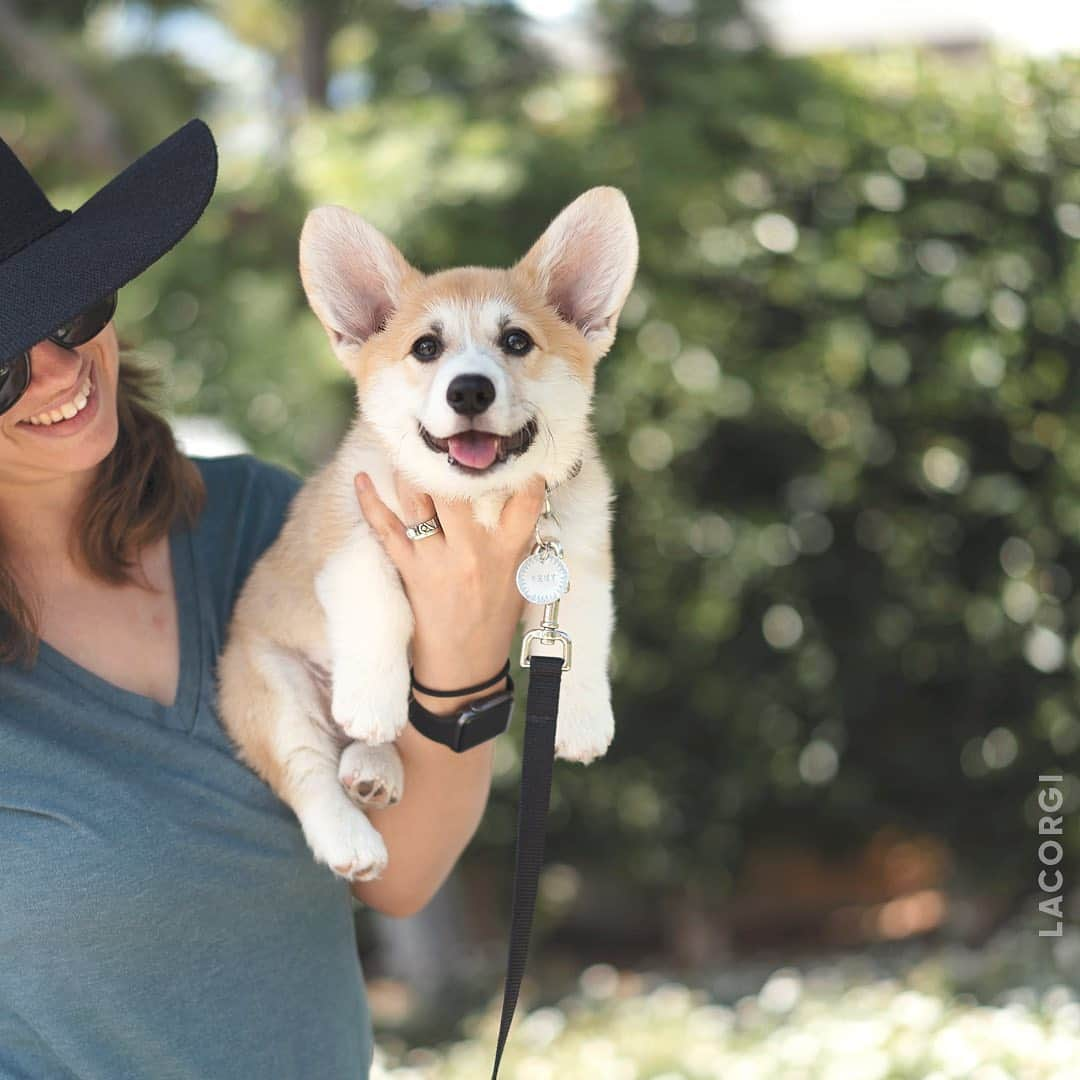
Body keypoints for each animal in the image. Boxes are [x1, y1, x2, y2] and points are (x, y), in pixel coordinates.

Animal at [220, 185, 639, 881]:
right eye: (425, 349)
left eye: (516, 341)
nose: (469, 390)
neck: (478, 502)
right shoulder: (353, 532)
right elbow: (382, 607)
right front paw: (372, 699)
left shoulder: (575, 556)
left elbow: (581, 629)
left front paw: (581, 720)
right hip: (269, 685)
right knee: (307, 768)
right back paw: (351, 830)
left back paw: (372, 769)